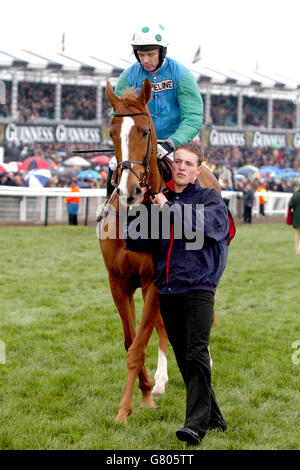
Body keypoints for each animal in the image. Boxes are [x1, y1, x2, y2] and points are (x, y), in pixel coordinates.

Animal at [98, 79, 220, 424]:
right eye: (112, 132)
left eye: (143, 131)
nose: (128, 189)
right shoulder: (118, 282)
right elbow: (131, 341)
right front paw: (147, 392)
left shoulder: (154, 281)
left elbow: (138, 346)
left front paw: (126, 408)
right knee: (164, 325)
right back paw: (162, 381)